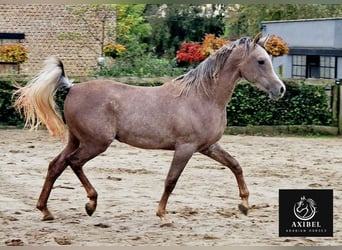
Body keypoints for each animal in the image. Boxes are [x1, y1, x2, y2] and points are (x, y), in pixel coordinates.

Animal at [13, 33, 286, 227]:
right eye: (261, 61)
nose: (280, 89)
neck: (203, 97)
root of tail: (73, 87)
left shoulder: (208, 146)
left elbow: (235, 165)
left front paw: (245, 205)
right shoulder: (185, 148)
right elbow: (171, 180)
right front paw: (163, 215)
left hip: (76, 140)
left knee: (56, 165)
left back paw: (46, 211)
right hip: (96, 143)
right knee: (74, 163)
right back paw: (90, 204)